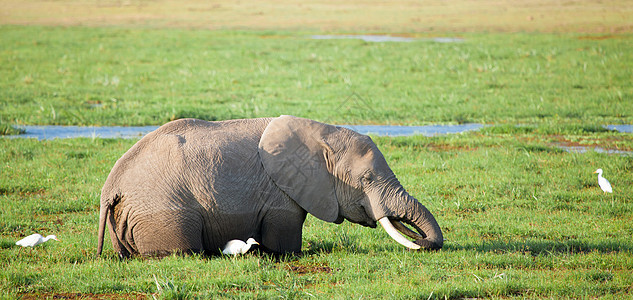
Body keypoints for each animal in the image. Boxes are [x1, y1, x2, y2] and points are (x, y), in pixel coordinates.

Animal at [99, 116, 442, 256]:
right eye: (367, 180)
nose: (423, 240)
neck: (322, 132)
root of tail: (111, 190)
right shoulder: (279, 194)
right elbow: (285, 243)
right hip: (162, 212)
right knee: (184, 251)